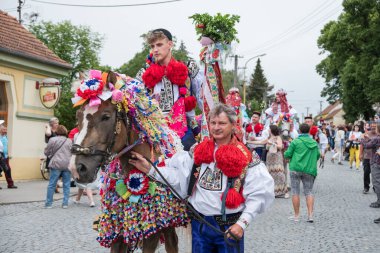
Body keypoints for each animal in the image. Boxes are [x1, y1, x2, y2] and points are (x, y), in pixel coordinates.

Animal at [68, 69, 190, 253]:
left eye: (106, 116)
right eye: (78, 116)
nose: (77, 167)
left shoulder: (152, 232)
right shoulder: (118, 232)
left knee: (172, 242)